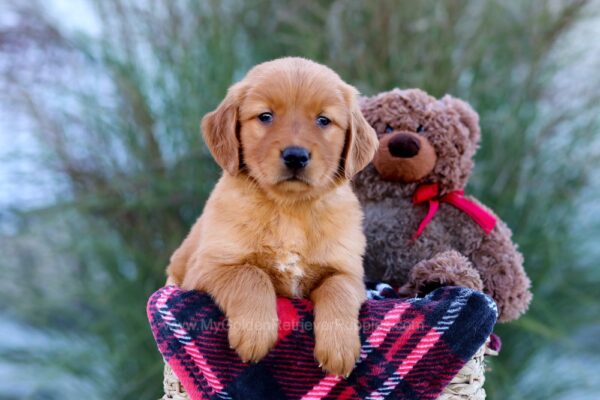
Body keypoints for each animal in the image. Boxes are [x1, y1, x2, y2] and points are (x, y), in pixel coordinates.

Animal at [166, 57, 378, 376]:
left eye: (323, 120)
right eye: (265, 116)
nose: (296, 156)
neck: (289, 209)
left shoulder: (349, 271)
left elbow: (338, 288)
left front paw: (339, 348)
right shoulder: (207, 267)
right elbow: (251, 275)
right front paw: (255, 333)